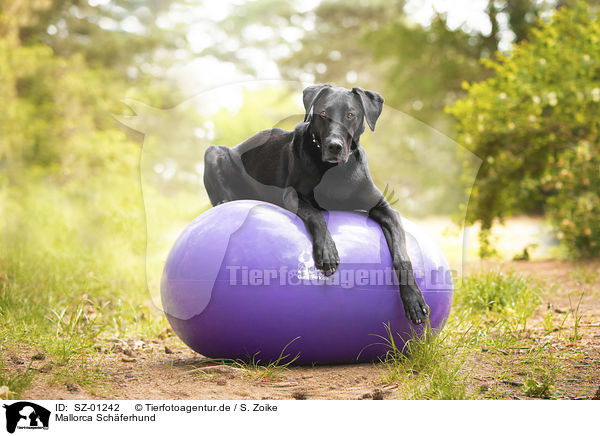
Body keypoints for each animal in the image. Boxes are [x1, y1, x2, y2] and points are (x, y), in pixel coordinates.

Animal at [204, 85, 428, 324]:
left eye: (351, 115)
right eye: (323, 114)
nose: (334, 147)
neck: (334, 171)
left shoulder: (386, 209)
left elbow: (402, 257)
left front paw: (414, 300)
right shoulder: (293, 196)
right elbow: (315, 214)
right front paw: (327, 250)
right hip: (214, 152)